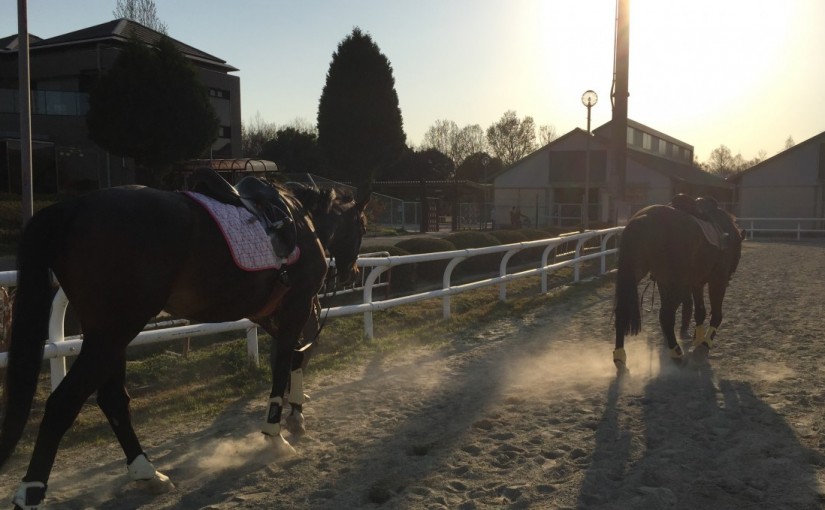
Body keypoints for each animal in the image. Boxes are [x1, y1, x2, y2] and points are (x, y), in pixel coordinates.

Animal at [0, 173, 369, 508]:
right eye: (363, 227)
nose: (351, 272)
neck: (300, 218)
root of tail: (71, 207)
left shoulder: (270, 314)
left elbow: (294, 357)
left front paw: (296, 412)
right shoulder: (297, 305)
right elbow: (284, 364)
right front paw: (275, 434)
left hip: (108, 334)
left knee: (113, 400)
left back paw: (147, 473)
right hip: (113, 332)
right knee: (63, 403)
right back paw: (30, 491)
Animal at [612, 196, 744, 376]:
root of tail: (644, 217)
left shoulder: (696, 283)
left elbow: (700, 312)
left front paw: (698, 339)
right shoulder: (718, 280)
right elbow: (717, 315)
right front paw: (703, 346)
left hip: (642, 275)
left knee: (623, 312)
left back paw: (620, 357)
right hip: (678, 285)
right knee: (665, 315)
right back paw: (676, 352)